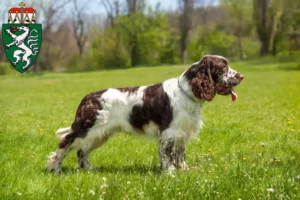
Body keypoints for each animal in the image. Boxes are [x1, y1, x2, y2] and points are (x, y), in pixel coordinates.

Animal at [47, 55, 244, 173]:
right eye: (224, 66)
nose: (241, 76)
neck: (186, 92)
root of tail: (88, 98)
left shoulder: (181, 133)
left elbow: (180, 154)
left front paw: (184, 170)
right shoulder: (169, 133)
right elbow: (168, 155)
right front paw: (170, 173)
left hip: (100, 134)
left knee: (82, 150)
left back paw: (89, 169)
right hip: (87, 129)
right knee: (65, 142)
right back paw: (55, 169)